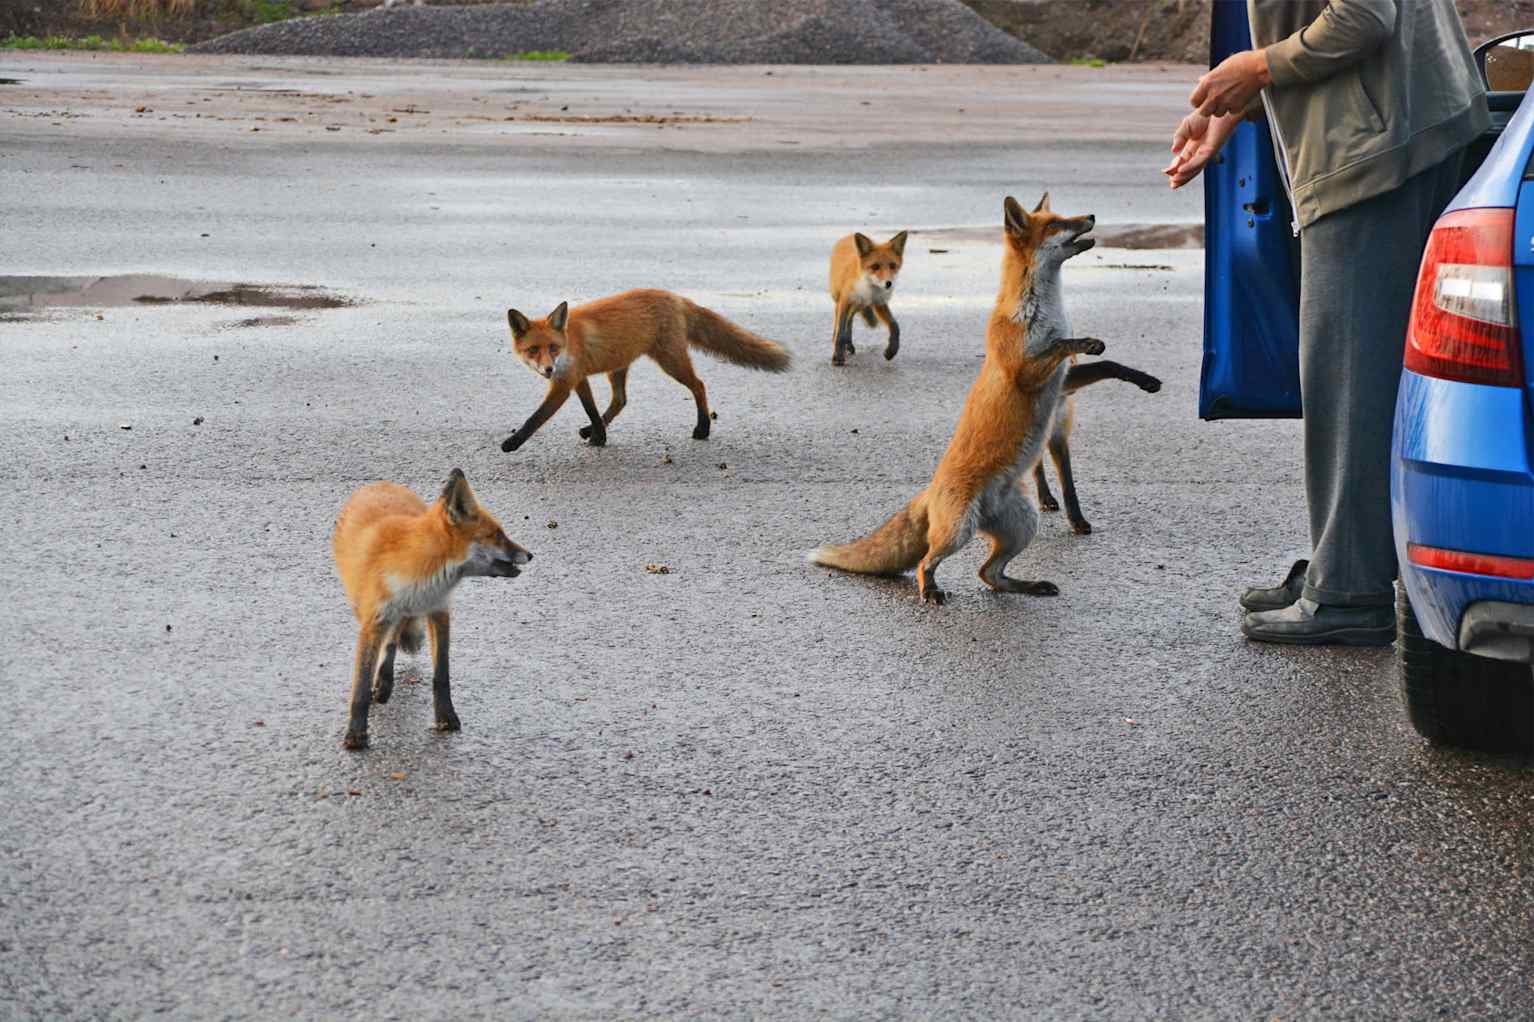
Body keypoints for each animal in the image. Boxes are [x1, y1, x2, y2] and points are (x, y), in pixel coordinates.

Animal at [331, 466, 533, 745]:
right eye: (497, 535)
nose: (530, 555)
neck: (420, 569)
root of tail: (379, 483)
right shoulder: (374, 620)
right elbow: (360, 685)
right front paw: (356, 734)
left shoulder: (439, 610)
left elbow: (442, 675)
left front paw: (446, 718)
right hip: (362, 606)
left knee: (393, 640)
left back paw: (385, 680)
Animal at [828, 228, 908, 363]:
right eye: (875, 266)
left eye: (892, 265)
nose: (888, 284)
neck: (869, 290)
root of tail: (848, 236)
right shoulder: (845, 300)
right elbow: (840, 330)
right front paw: (837, 355)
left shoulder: (879, 303)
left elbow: (895, 325)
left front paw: (891, 351)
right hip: (840, 300)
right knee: (840, 322)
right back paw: (842, 343)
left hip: (859, 305)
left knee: (850, 320)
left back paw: (848, 344)